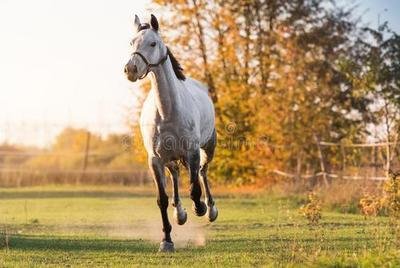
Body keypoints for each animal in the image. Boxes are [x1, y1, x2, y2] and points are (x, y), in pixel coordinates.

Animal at [125, 14, 219, 253]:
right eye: (131, 42)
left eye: (152, 43)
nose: (130, 69)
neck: (167, 112)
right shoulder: (155, 160)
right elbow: (163, 199)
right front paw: (166, 240)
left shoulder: (192, 153)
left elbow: (194, 189)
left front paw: (200, 208)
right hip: (170, 159)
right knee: (176, 175)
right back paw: (180, 214)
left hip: (208, 148)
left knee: (203, 172)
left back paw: (210, 210)